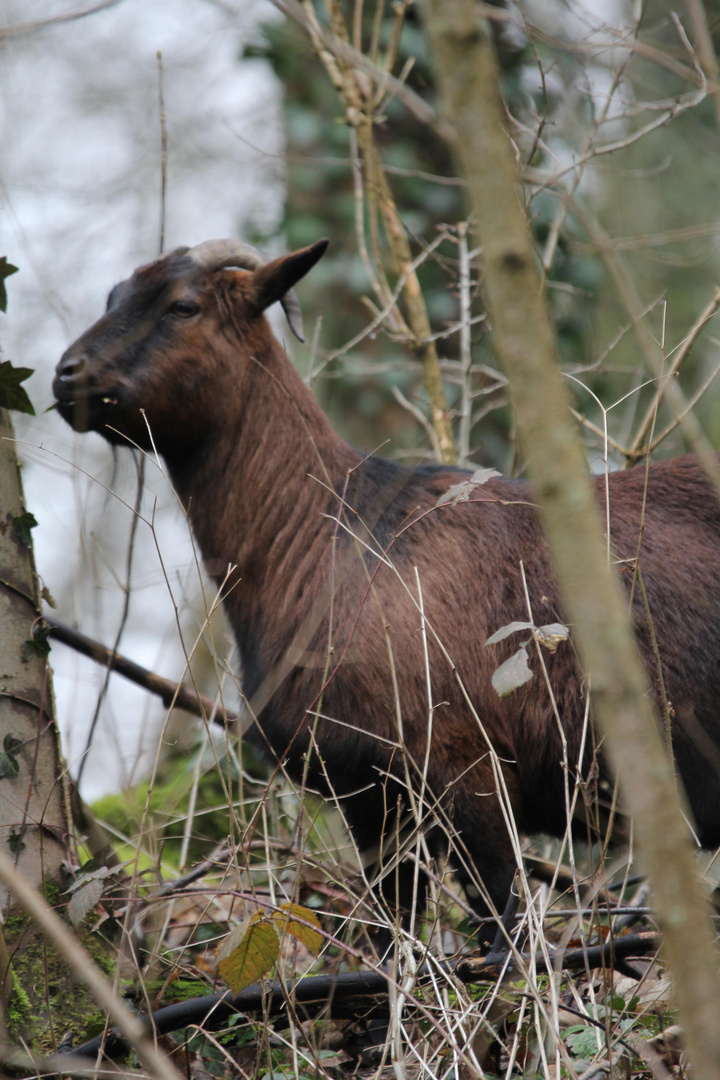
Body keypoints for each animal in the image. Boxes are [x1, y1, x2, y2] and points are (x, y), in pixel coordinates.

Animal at [55, 240, 720, 933]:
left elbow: (500, 930)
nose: (67, 377)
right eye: (112, 297)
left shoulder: (468, 768)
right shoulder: (372, 795)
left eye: (184, 305)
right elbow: (391, 931)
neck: (330, 541)